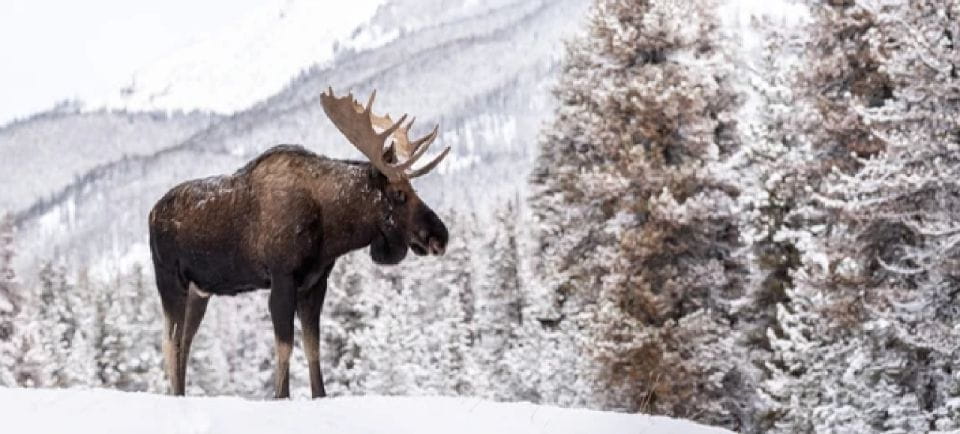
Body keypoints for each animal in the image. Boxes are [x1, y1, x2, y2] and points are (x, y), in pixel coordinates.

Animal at [148, 88, 450, 398]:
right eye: (399, 193)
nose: (440, 235)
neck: (331, 230)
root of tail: (152, 213)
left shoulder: (315, 283)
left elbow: (312, 347)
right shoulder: (283, 277)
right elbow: (285, 347)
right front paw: (281, 396)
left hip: (200, 291)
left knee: (185, 341)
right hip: (170, 279)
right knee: (171, 342)